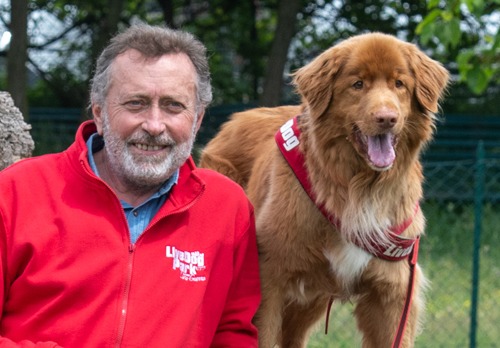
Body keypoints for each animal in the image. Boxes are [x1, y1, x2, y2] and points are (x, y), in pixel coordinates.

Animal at [199, 32, 450, 346]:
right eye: (358, 84)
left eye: (399, 84)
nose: (387, 118)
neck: (358, 187)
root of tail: (234, 120)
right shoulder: (269, 279)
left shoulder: (391, 294)